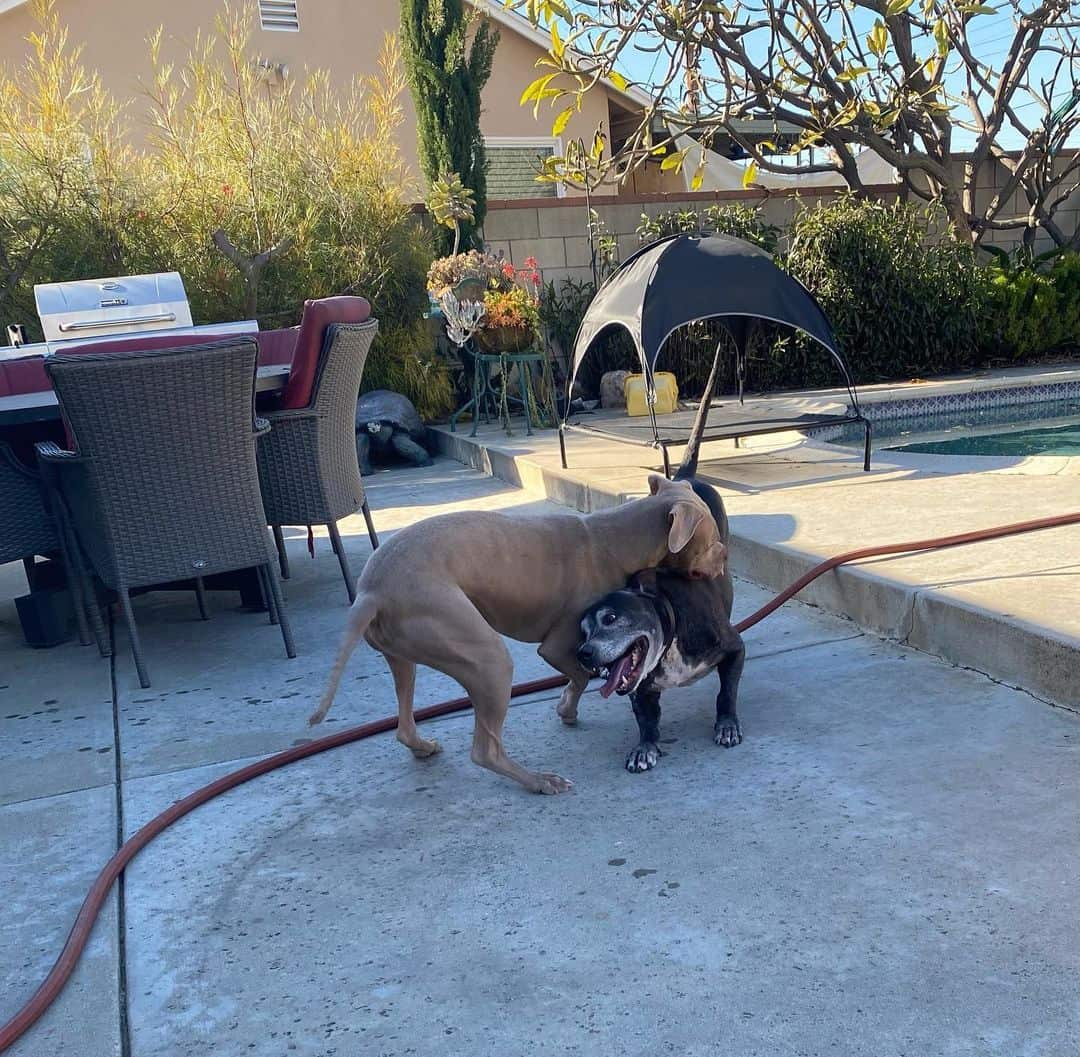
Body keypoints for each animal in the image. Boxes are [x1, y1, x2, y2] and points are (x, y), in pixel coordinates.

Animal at [311, 477, 725, 794]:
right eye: (711, 540)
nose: (724, 559)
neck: (618, 537)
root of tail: (370, 593)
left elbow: (581, 676)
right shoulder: (559, 646)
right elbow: (581, 674)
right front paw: (566, 710)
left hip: (405, 655)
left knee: (404, 718)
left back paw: (422, 746)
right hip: (487, 660)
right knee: (485, 750)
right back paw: (540, 781)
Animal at [578, 479, 747, 768]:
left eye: (610, 618)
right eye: (583, 632)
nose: (583, 653)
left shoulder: (735, 649)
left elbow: (726, 693)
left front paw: (727, 725)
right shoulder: (639, 688)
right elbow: (646, 719)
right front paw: (644, 748)